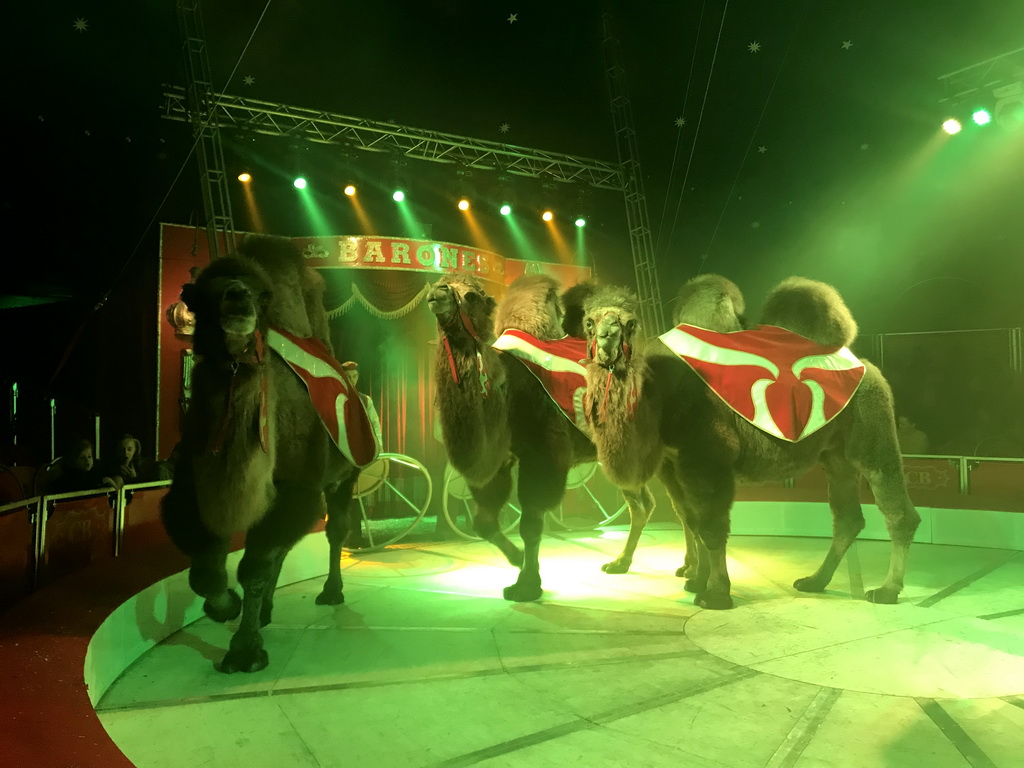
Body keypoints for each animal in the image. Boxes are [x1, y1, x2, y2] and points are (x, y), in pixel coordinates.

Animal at [165, 236, 374, 671]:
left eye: (260, 295)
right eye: (200, 293)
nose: (238, 296)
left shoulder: (297, 487)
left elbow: (255, 566)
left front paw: (244, 651)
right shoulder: (191, 489)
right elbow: (205, 571)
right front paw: (229, 607)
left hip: (346, 475)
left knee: (334, 529)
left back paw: (331, 591)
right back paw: (265, 610)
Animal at [428, 274, 651, 606]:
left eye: (471, 296)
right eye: (441, 282)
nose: (437, 292)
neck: (506, 388)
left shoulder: (544, 456)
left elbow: (531, 523)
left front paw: (527, 585)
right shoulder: (500, 460)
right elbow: (484, 522)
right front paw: (517, 558)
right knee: (643, 503)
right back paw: (622, 563)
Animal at [581, 274, 925, 610]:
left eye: (629, 323)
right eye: (588, 322)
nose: (607, 338)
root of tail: (866, 364)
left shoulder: (706, 458)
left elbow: (710, 527)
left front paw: (716, 594)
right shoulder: (675, 463)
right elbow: (693, 521)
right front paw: (697, 582)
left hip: (872, 432)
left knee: (896, 507)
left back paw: (887, 589)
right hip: (834, 454)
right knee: (847, 518)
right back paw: (815, 581)